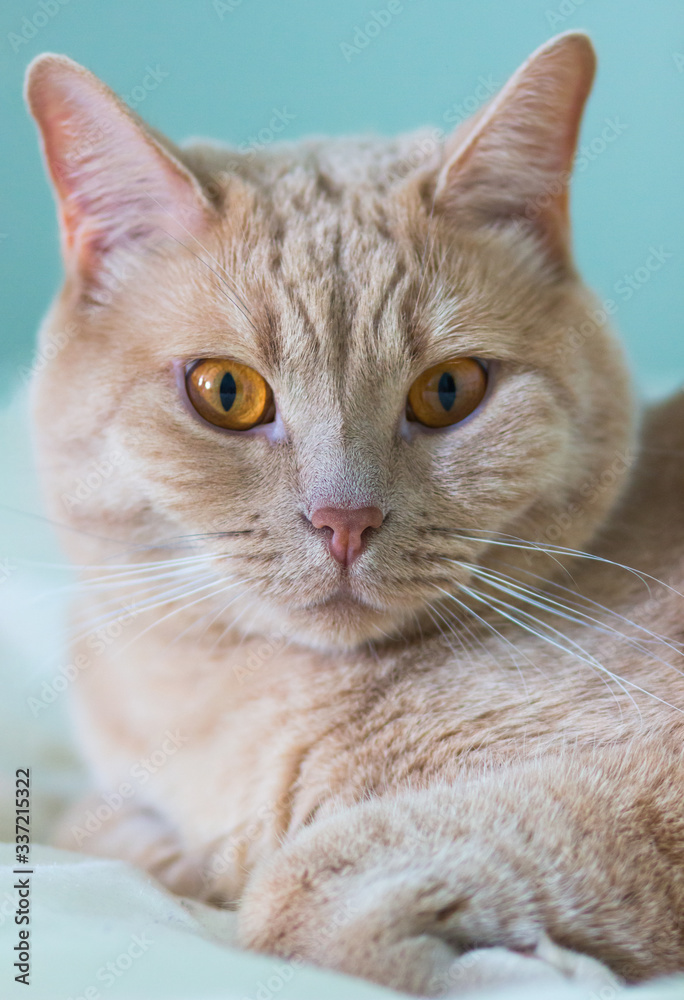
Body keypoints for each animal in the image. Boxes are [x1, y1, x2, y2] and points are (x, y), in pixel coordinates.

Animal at [24, 29, 684, 992]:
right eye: (226, 392)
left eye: (450, 390)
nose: (344, 519)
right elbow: (99, 827)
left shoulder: (642, 780)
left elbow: (303, 887)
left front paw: (514, 969)